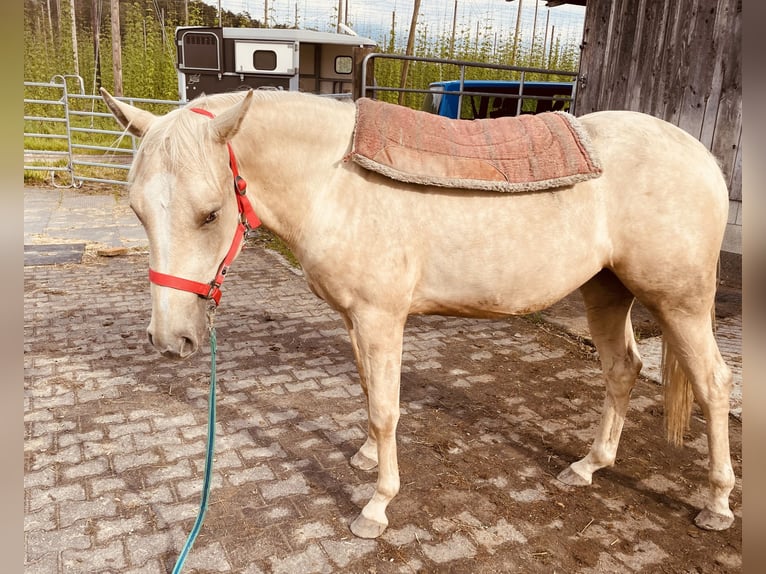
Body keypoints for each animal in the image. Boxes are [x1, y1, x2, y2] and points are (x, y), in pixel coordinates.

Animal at [102, 89, 736, 540]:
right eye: (136, 211)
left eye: (211, 214)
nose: (171, 339)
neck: (333, 182)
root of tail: (702, 157)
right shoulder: (356, 320)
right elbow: (367, 391)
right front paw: (363, 459)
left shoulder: (382, 318)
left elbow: (386, 410)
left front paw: (376, 507)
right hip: (607, 290)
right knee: (623, 370)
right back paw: (590, 465)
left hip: (680, 302)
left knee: (712, 383)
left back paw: (717, 502)